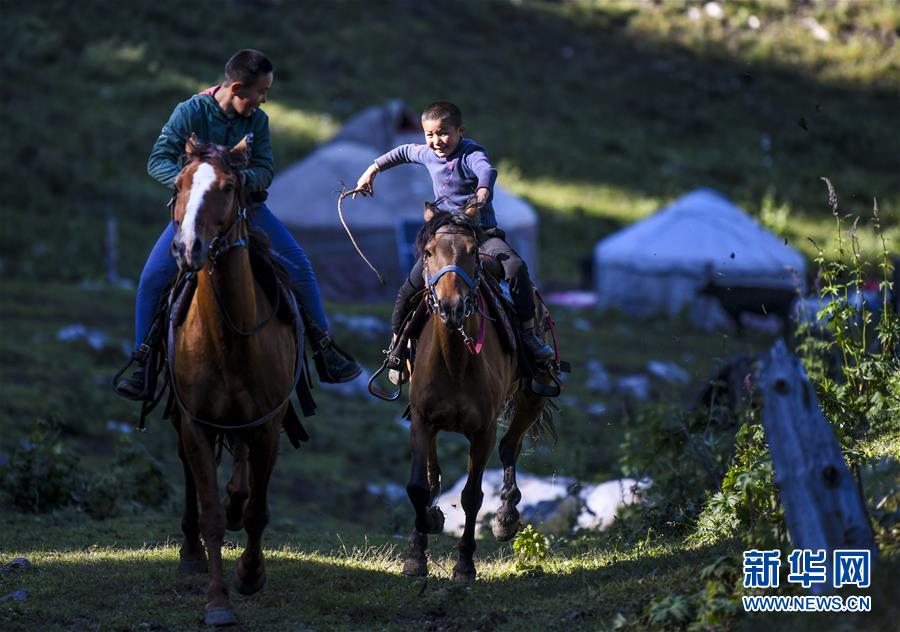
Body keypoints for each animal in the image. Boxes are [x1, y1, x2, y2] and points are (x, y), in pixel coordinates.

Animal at [166, 135, 298, 628]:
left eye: (227, 186)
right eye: (179, 184)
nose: (188, 248)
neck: (227, 338)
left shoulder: (267, 425)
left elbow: (257, 510)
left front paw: (250, 575)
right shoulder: (196, 424)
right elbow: (211, 518)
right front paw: (218, 602)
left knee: (242, 480)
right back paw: (189, 551)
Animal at [402, 202, 556, 584]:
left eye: (472, 253)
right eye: (429, 253)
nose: (452, 306)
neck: (455, 360)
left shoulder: (482, 431)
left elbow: (472, 495)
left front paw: (464, 565)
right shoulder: (422, 420)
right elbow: (418, 486)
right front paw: (417, 551)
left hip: (532, 398)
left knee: (509, 446)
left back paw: (506, 519)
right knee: (432, 476)